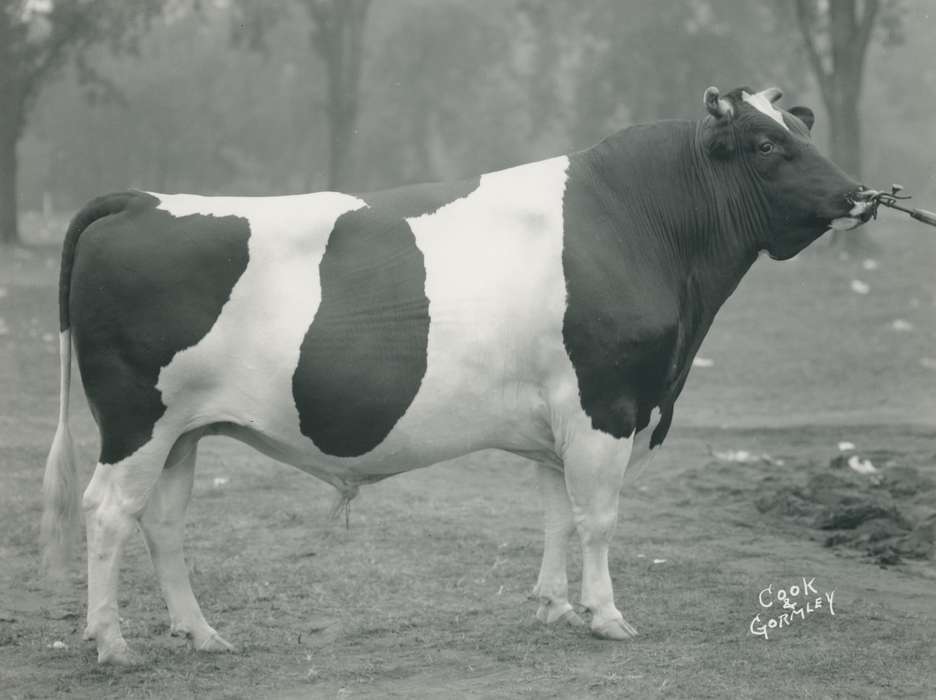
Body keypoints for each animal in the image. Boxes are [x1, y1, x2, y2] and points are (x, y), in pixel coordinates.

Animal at [42, 86, 874, 664]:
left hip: (183, 429)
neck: (643, 225)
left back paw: (201, 633)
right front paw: (606, 617)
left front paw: (554, 606)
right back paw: (112, 643)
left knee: (163, 521)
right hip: (135, 421)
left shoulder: (559, 416)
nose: (859, 195)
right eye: (765, 144)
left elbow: (558, 513)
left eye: (803, 131)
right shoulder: (605, 404)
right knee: (107, 512)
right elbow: (599, 518)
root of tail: (142, 199)